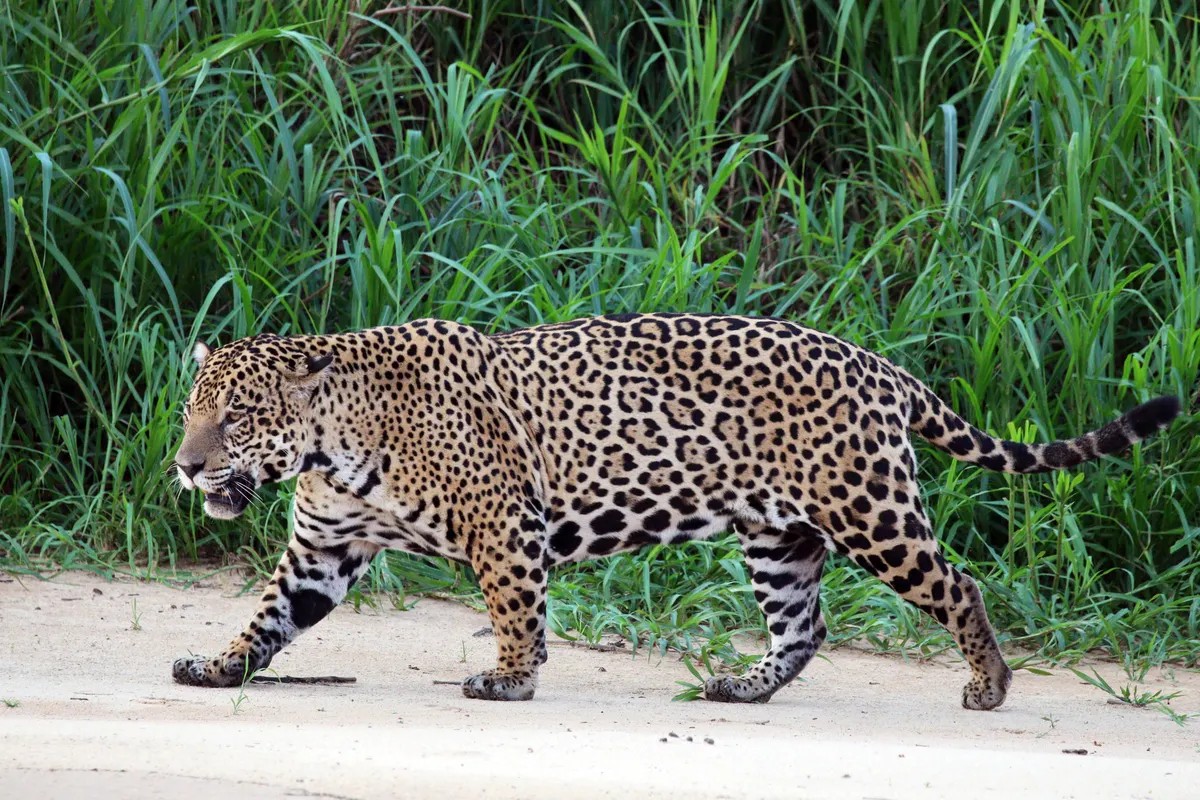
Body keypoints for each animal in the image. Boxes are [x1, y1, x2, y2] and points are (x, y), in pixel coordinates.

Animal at [171, 313, 1180, 708]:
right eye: (191, 411)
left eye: (238, 418)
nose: (184, 467)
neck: (336, 442)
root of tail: (878, 363)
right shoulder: (323, 549)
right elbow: (268, 619)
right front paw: (217, 668)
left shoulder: (505, 526)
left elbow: (515, 610)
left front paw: (511, 678)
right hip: (779, 535)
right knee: (803, 625)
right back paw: (744, 687)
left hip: (870, 510)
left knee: (959, 584)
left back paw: (988, 685)